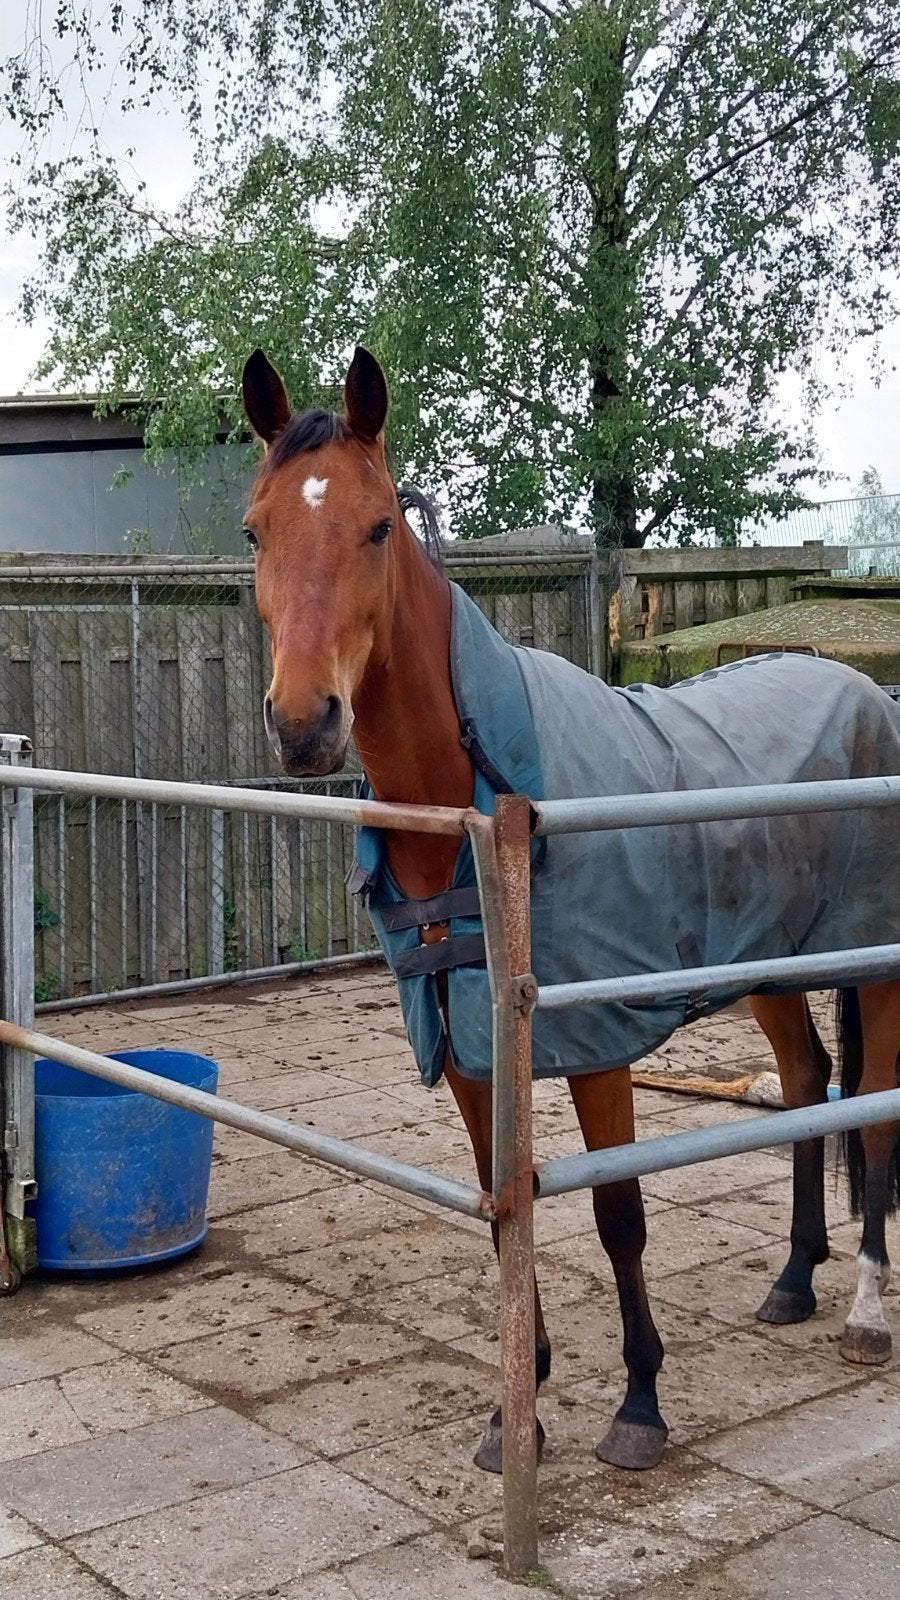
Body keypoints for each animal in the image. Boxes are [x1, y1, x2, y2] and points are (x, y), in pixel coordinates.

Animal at [240, 343, 900, 1474]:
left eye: (378, 525)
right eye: (255, 528)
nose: (303, 724)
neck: (486, 810)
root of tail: (867, 693)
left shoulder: (596, 1042)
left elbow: (619, 1213)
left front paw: (639, 1406)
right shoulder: (467, 1044)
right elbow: (500, 1206)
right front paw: (519, 1411)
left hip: (879, 966)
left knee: (879, 1113)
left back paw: (863, 1307)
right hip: (768, 962)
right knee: (811, 1081)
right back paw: (793, 1279)